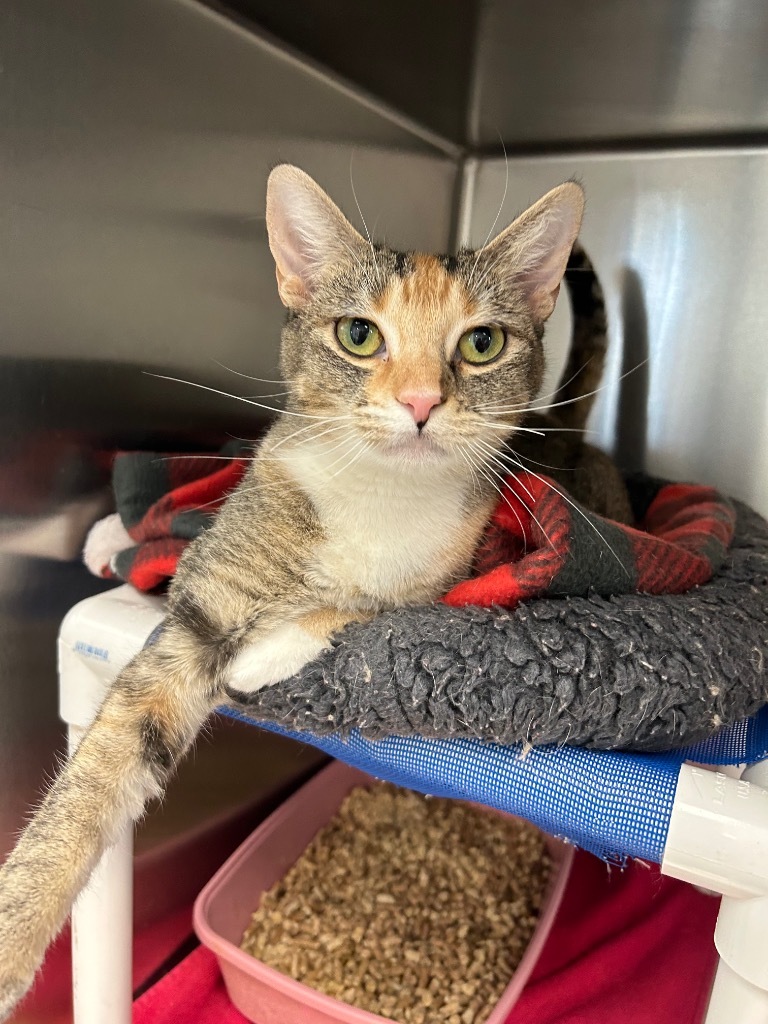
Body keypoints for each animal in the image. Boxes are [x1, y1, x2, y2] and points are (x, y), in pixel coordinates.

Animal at [0, 165, 626, 1015]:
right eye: (359, 335)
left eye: (482, 343)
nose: (421, 403)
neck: (379, 493)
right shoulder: (207, 600)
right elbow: (96, 775)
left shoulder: (455, 572)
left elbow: (369, 601)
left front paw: (265, 651)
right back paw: (113, 535)